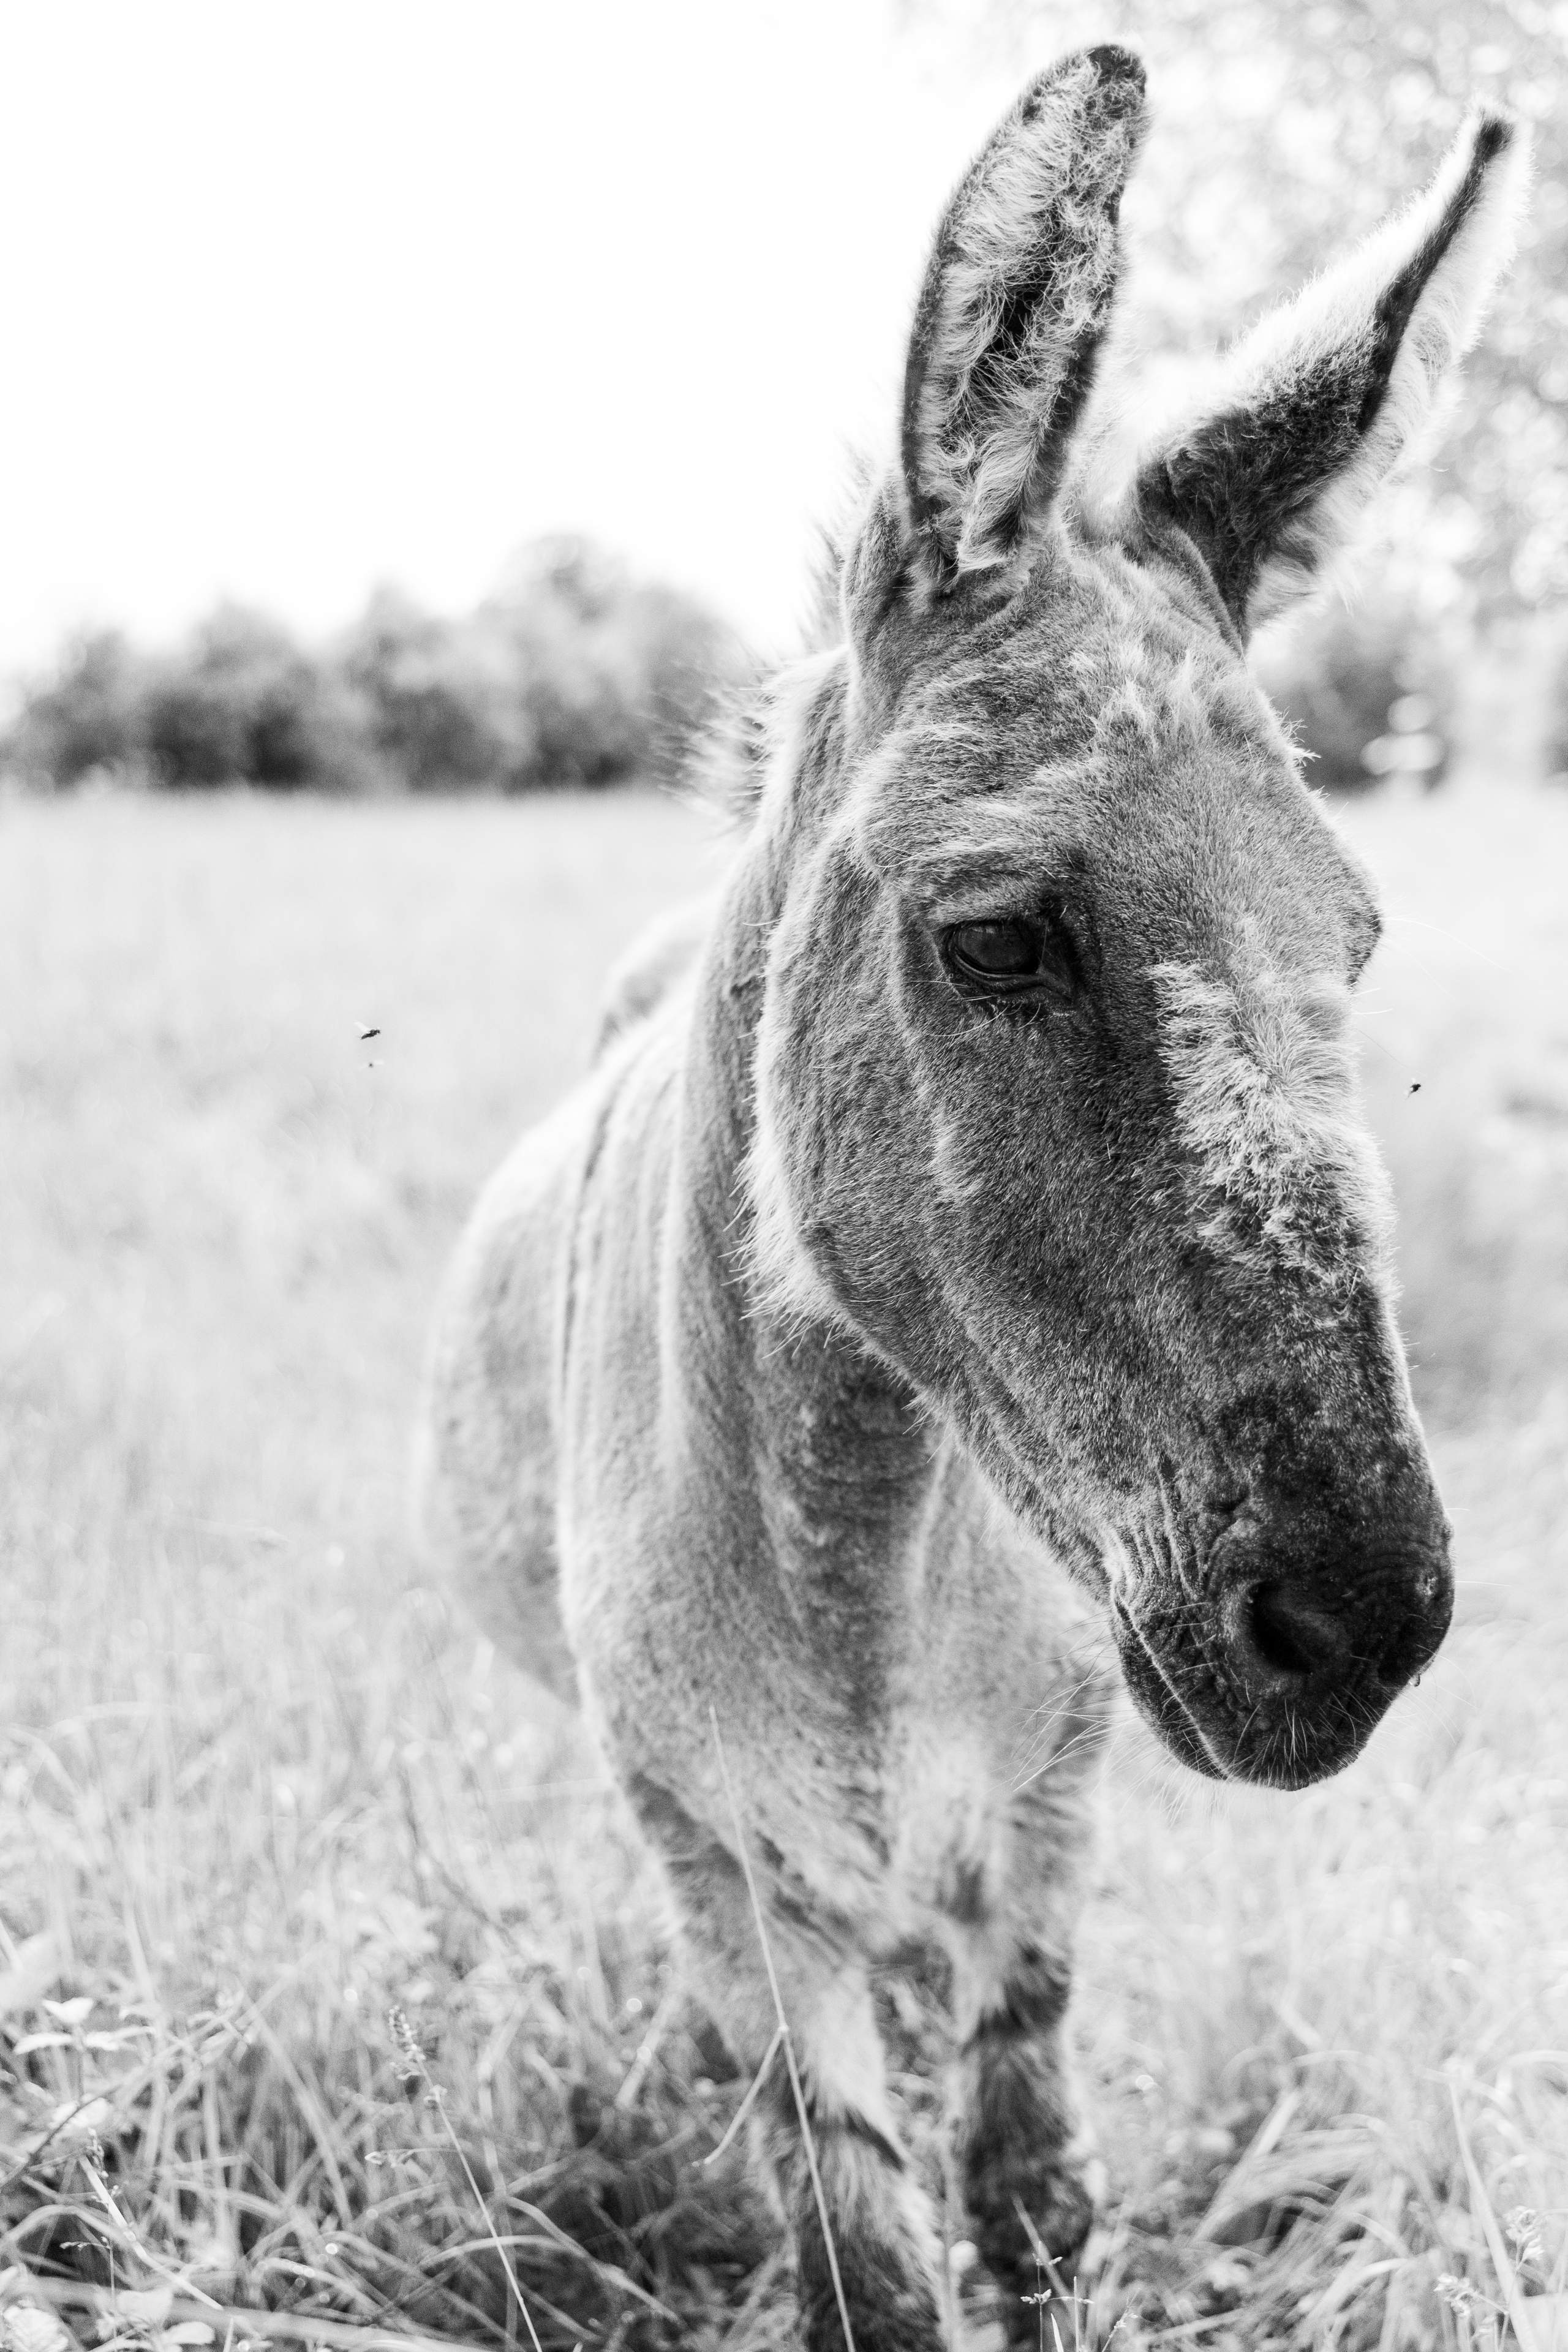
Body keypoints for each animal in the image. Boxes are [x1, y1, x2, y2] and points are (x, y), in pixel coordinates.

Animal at [417, 49, 1524, 2350]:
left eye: (1355, 941)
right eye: (997, 937)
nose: (1363, 1625)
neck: (860, 1542)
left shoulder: (1055, 1813)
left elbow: (1030, 2199)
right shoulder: (725, 1867)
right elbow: (867, 2257)